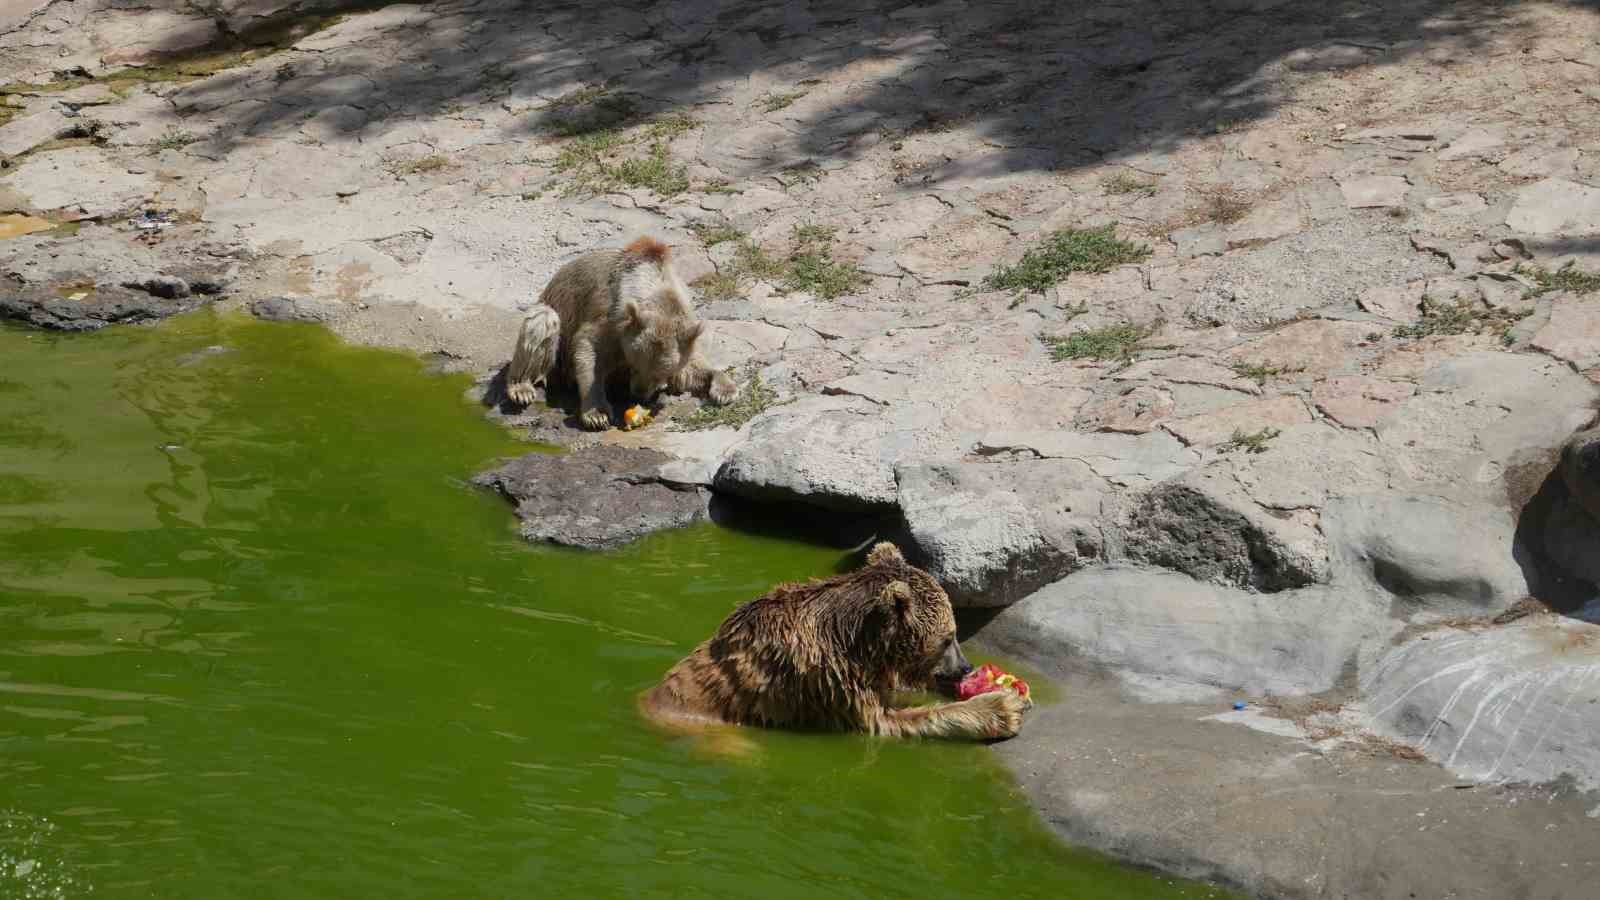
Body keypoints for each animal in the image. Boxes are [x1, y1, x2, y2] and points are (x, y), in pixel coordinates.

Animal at [636, 538, 1024, 736]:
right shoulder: (829, 679)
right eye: (948, 638)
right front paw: (1003, 707)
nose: (964, 666)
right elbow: (886, 721)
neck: (856, 640)